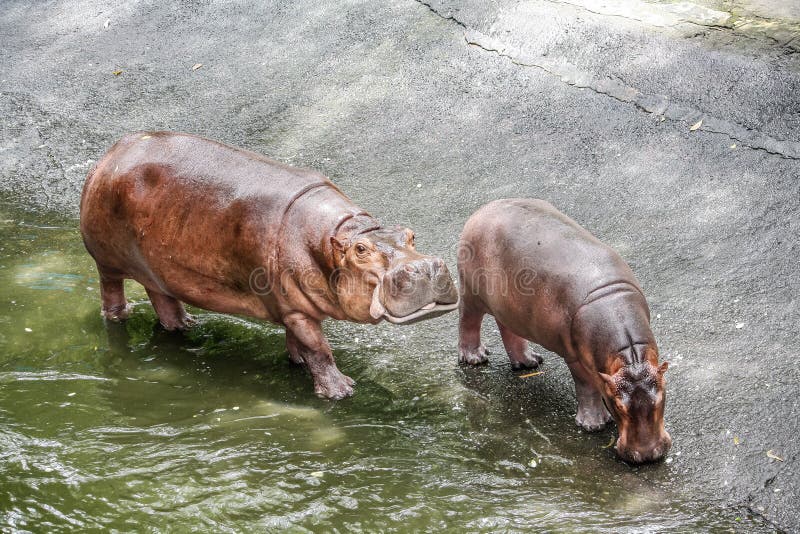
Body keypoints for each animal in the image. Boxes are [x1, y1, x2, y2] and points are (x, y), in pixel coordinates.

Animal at [80, 132, 459, 400]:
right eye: (361, 251)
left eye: (410, 234)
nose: (426, 267)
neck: (342, 235)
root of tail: (108, 155)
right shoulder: (297, 310)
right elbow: (319, 348)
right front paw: (341, 392)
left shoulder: (293, 305)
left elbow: (300, 343)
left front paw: (298, 364)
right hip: (107, 262)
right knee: (111, 293)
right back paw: (120, 319)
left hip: (158, 268)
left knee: (162, 297)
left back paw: (186, 326)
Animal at [457, 199, 671, 463]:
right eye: (618, 404)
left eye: (662, 395)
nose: (648, 454)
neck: (630, 357)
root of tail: (482, 210)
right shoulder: (575, 357)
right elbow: (586, 386)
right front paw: (593, 424)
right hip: (471, 292)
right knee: (468, 321)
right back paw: (475, 358)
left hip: (510, 308)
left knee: (507, 329)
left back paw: (529, 362)